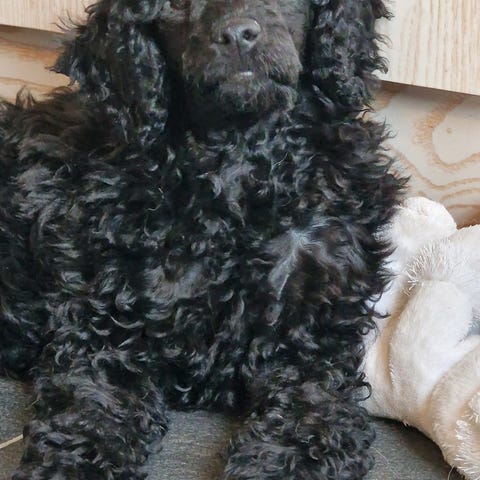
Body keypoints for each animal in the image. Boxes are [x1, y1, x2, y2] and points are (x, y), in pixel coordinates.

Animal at [0, 0, 405, 479]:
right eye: (173, 6)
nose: (238, 35)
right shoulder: (100, 328)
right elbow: (90, 410)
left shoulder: (314, 339)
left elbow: (309, 417)